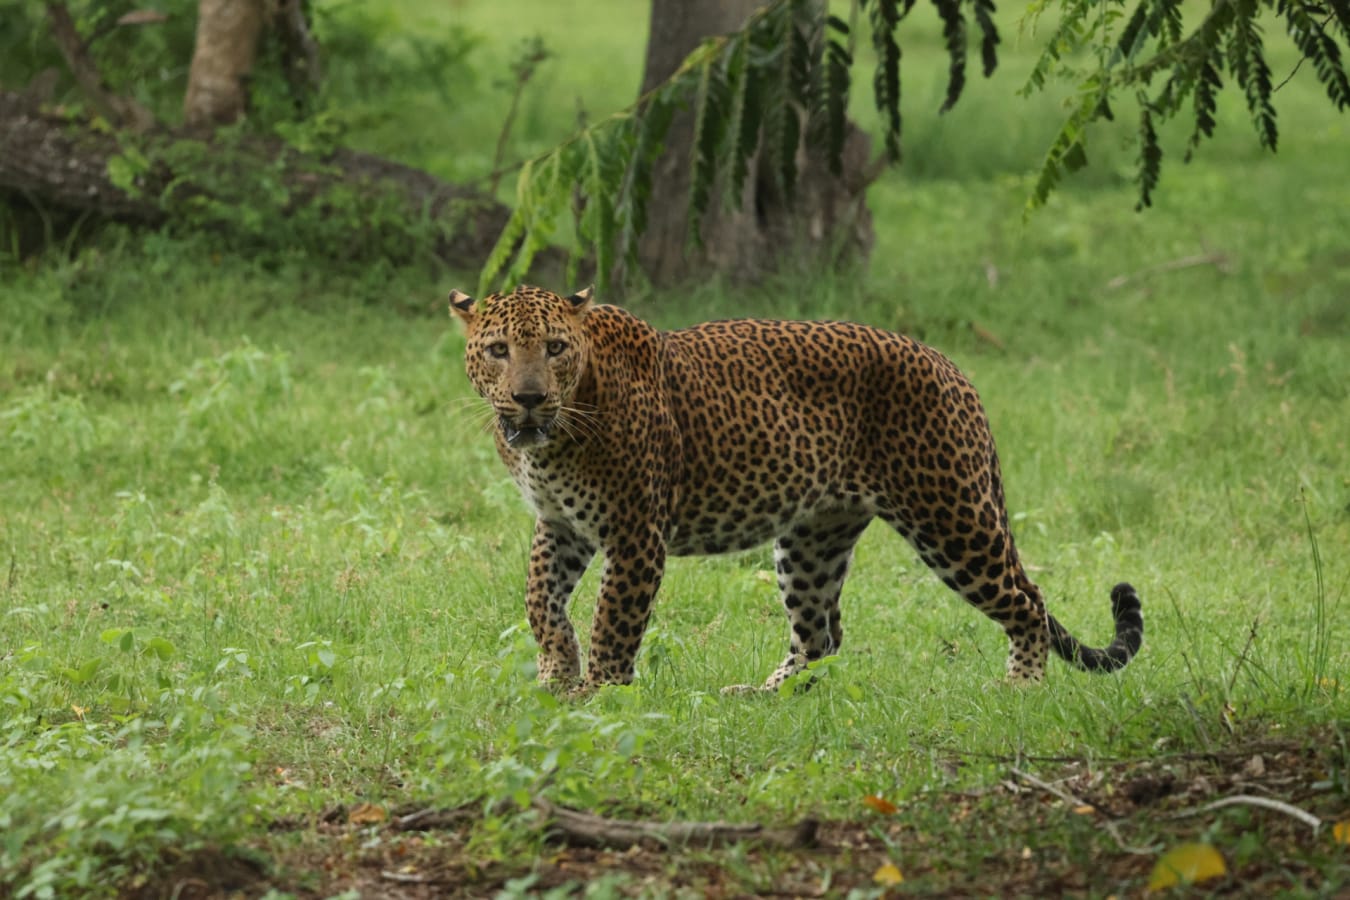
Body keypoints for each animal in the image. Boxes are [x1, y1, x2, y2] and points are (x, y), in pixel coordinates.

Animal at [450, 284, 1143, 694]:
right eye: (499, 349)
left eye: (555, 347)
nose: (528, 397)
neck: (555, 438)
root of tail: (953, 368)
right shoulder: (560, 524)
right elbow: (540, 600)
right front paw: (555, 671)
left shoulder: (635, 533)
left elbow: (613, 621)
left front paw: (599, 694)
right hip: (813, 540)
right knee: (821, 636)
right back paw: (766, 697)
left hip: (951, 516)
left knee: (1027, 599)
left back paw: (1022, 684)